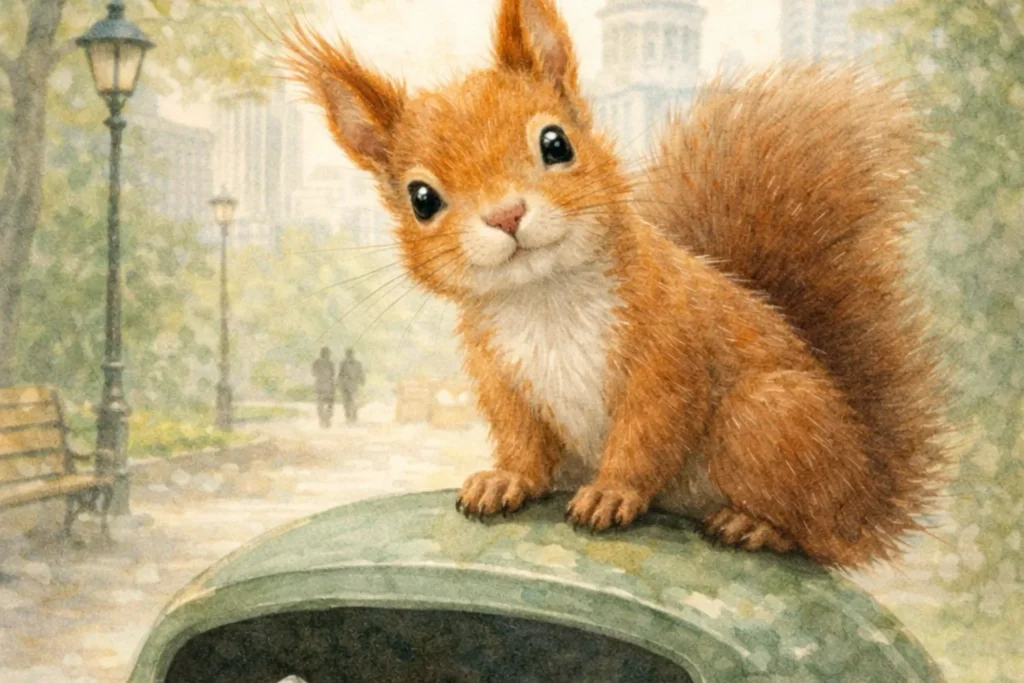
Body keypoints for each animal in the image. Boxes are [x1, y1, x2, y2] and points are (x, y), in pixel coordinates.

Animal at [282, 0, 947, 568]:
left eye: (556, 142)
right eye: (421, 198)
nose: (506, 215)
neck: (545, 297)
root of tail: (867, 489)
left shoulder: (670, 351)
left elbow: (646, 432)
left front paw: (612, 493)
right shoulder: (502, 375)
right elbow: (522, 438)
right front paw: (505, 479)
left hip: (768, 420)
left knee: (820, 533)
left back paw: (756, 524)